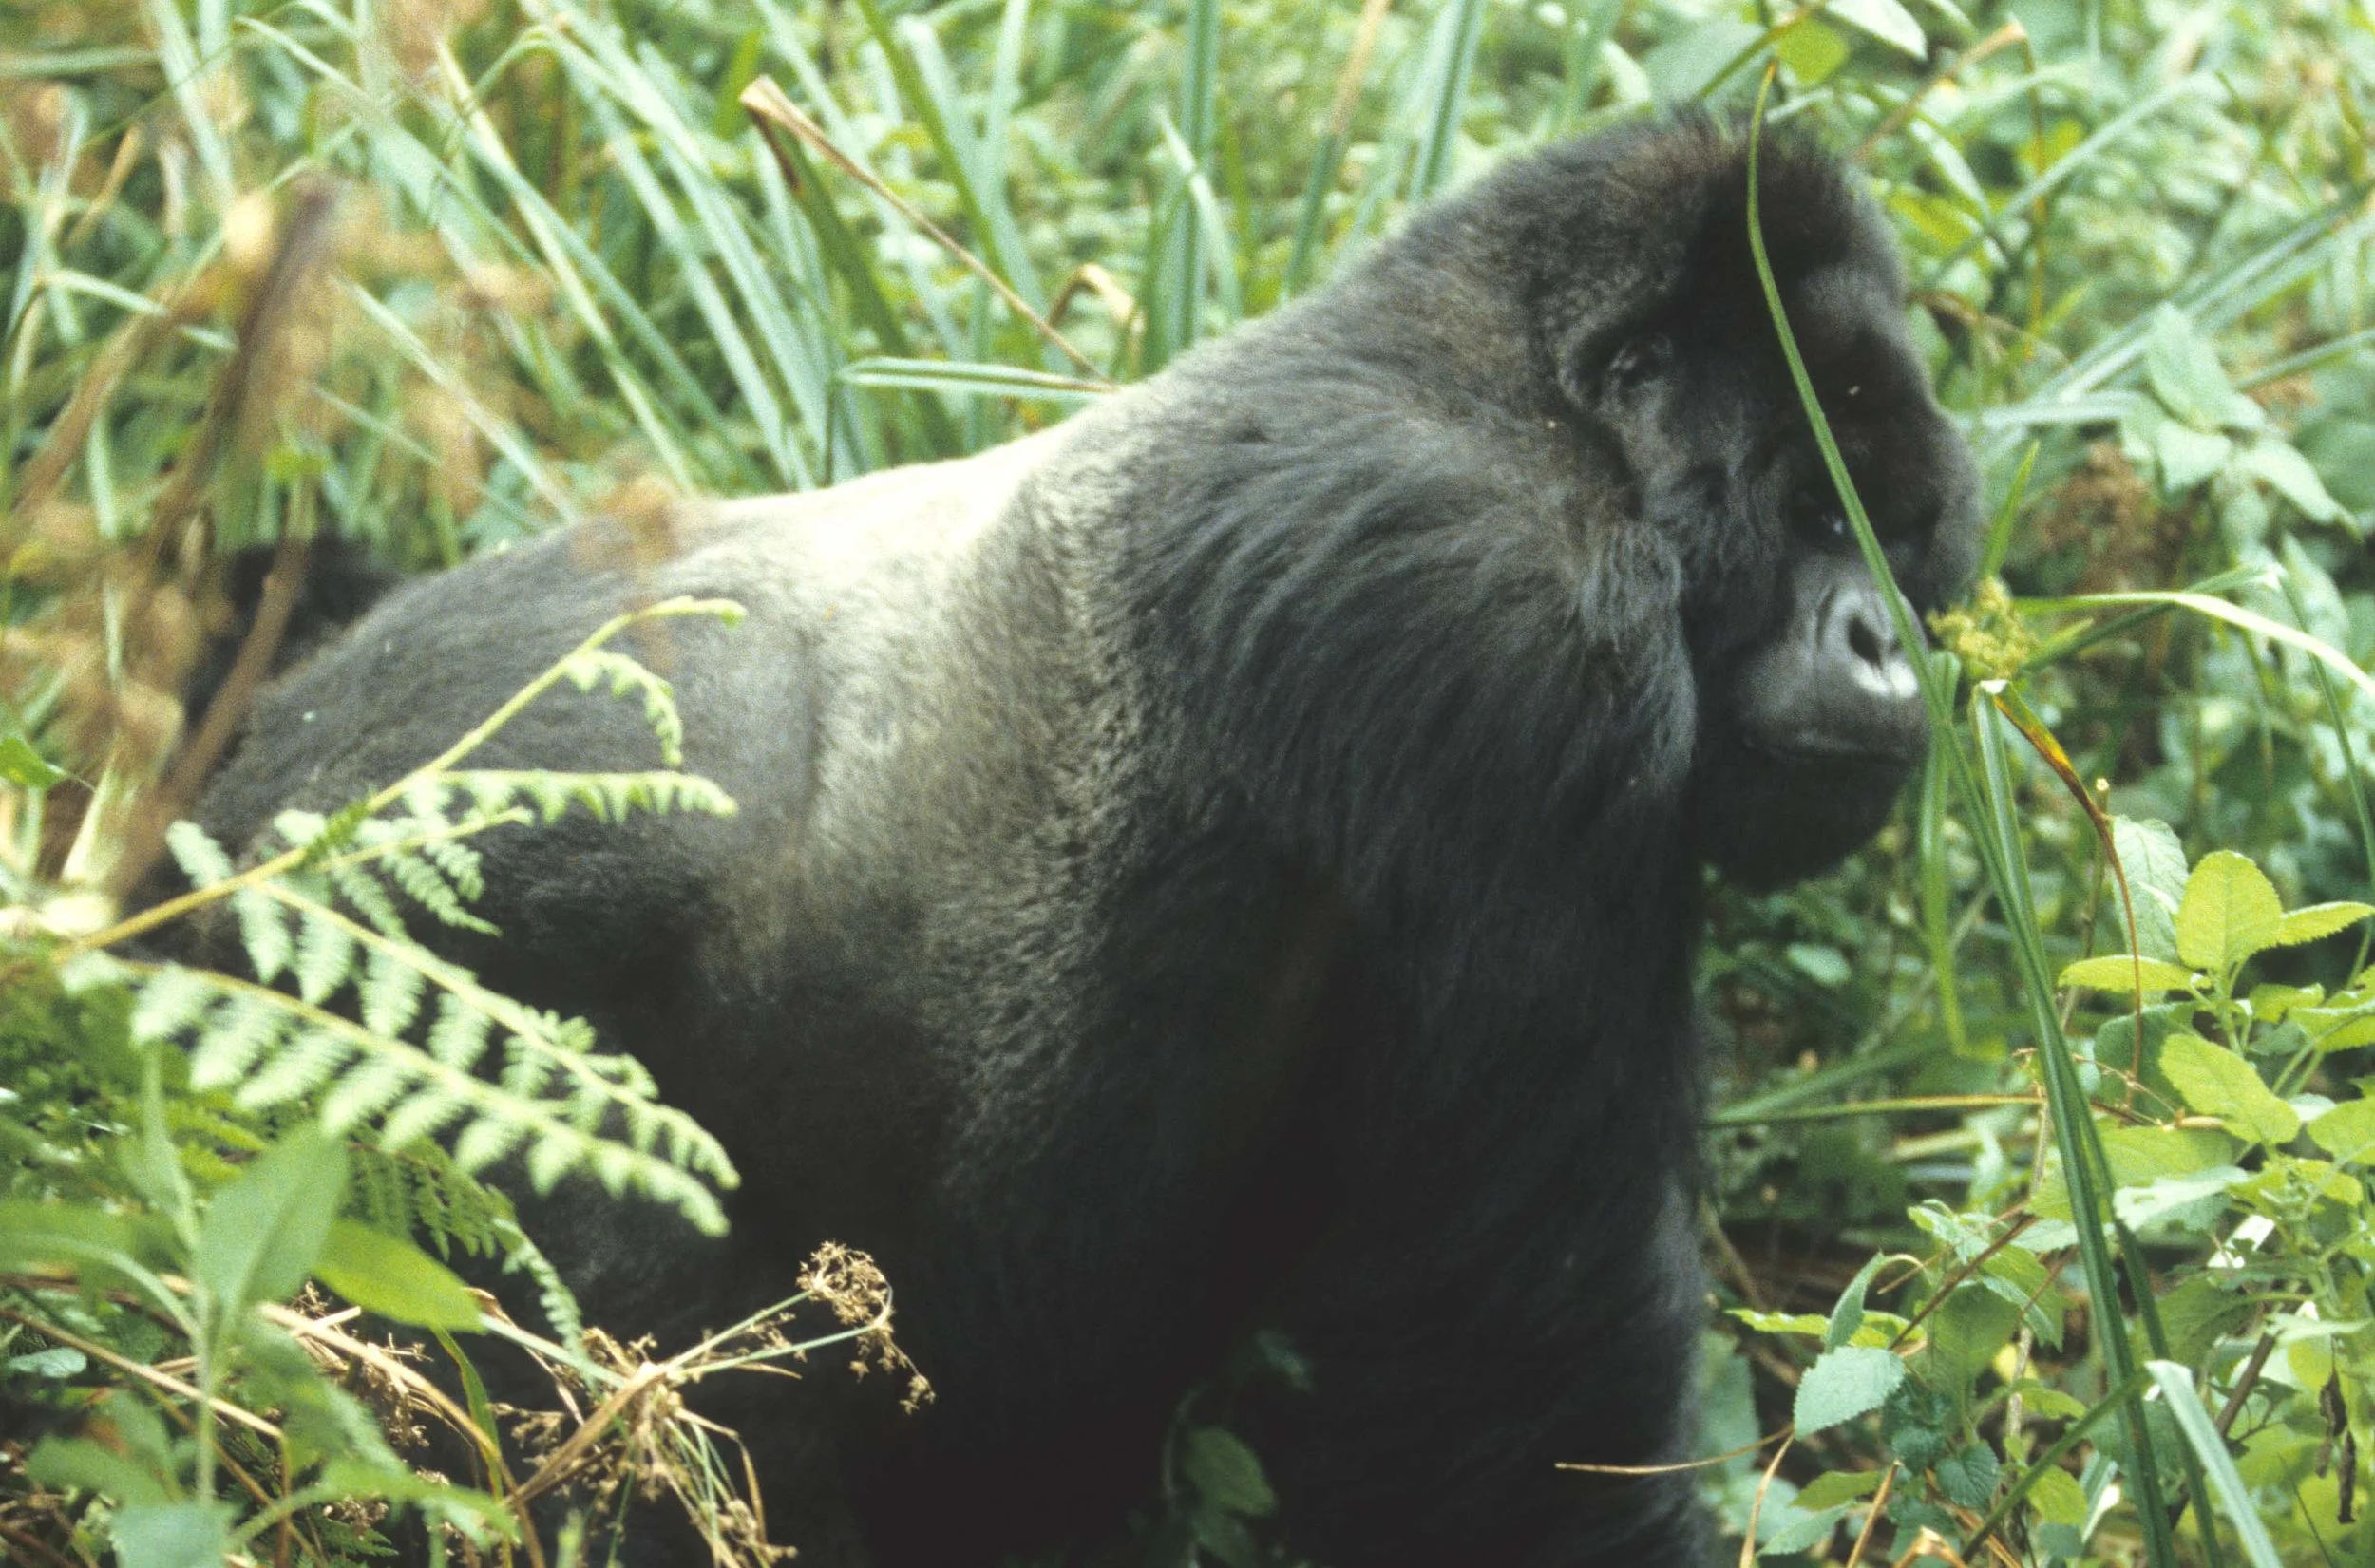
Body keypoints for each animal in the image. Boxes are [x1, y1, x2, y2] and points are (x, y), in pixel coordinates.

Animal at [183, 118, 1978, 1566]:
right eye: (1813, 507)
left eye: (1897, 534)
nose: (1892, 646)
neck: (1516, 382)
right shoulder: (1509, 626)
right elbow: (1517, 1374)